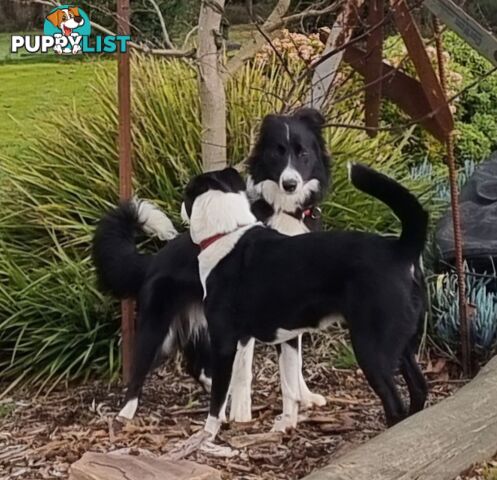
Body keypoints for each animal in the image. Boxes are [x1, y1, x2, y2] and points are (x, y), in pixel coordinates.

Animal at [92, 108, 330, 428]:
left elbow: (293, 362)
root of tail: (153, 259)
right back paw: (126, 414)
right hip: (158, 329)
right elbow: (248, 368)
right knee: (140, 371)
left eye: (302, 153)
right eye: (277, 153)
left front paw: (302, 399)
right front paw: (242, 413)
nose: (290, 183)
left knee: (194, 364)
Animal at [180, 164, 428, 438]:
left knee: (394, 405)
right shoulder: (287, 338)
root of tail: (400, 250)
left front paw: (206, 435)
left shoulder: (224, 344)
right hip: (401, 344)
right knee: (419, 388)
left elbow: (218, 399)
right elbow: (290, 385)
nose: (179, 207)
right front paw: (287, 423)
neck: (226, 234)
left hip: (371, 349)